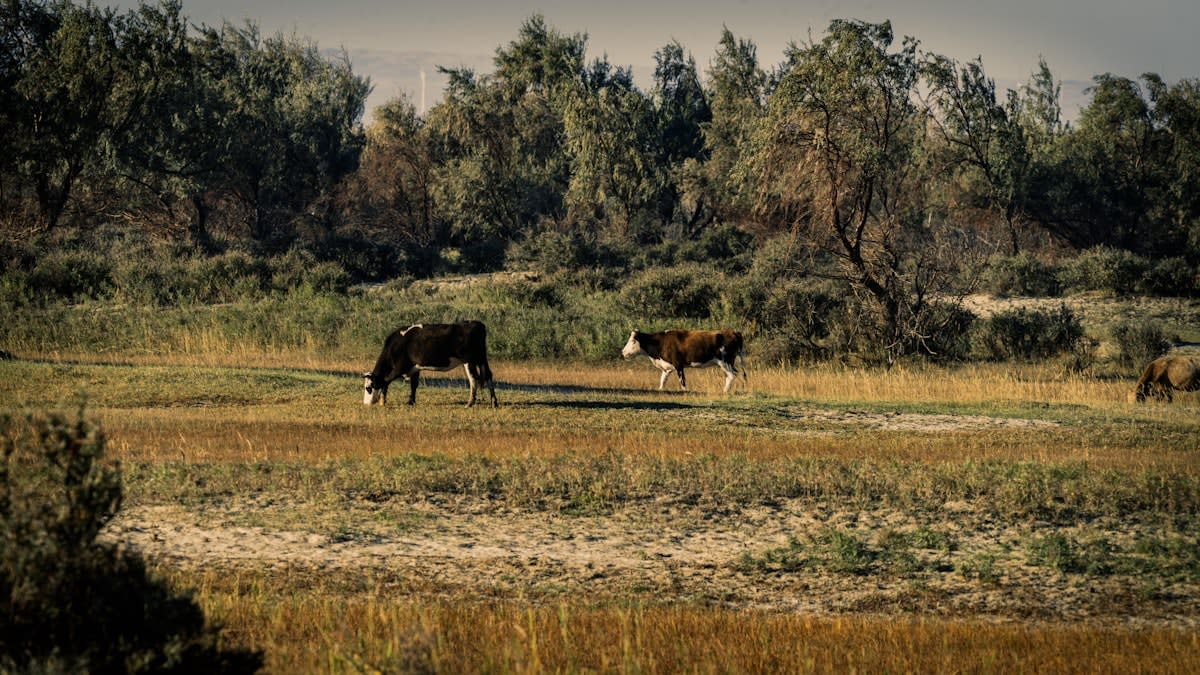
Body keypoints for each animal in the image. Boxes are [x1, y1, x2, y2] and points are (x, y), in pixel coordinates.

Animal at [363, 321, 498, 407]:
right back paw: (494, 402)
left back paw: (470, 403)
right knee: (488, 376)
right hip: (481, 359)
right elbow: (413, 385)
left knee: (474, 379)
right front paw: (411, 402)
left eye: (368, 388)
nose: (365, 403)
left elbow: (386, 380)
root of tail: (476, 324)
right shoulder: (415, 367)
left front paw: (382, 401)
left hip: (469, 361)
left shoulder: (400, 367)